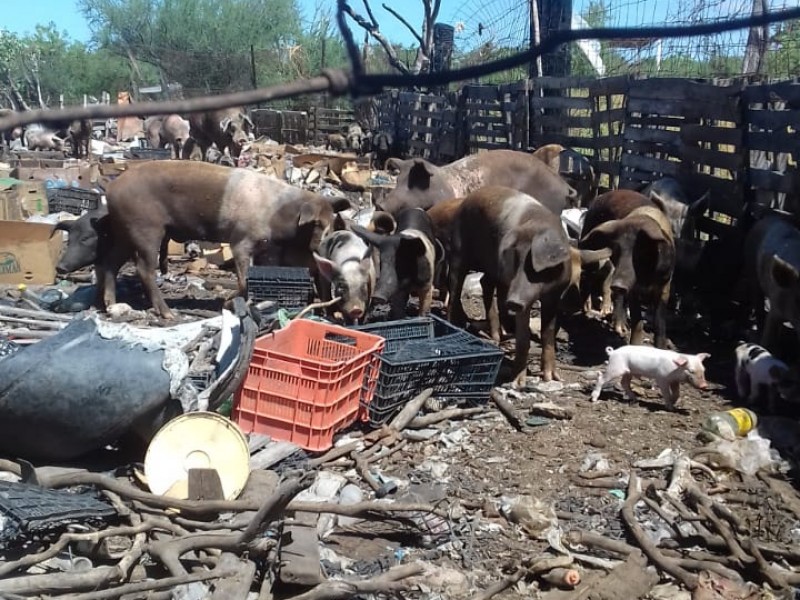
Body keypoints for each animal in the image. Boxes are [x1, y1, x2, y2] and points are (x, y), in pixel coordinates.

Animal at [96, 159, 350, 318]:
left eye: (332, 220)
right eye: (317, 224)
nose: (325, 244)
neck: (277, 215)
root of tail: (112, 187)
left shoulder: (268, 248)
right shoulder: (241, 240)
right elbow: (243, 278)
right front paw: (228, 302)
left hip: (125, 232)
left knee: (110, 262)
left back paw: (110, 305)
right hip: (146, 230)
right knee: (143, 269)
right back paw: (168, 314)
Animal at [446, 185, 608, 386]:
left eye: (580, 275)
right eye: (517, 261)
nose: (513, 302)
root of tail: (469, 198)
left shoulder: (552, 296)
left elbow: (548, 334)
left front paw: (551, 378)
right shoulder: (524, 296)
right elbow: (523, 338)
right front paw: (518, 383)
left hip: (494, 267)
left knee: (486, 283)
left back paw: (498, 336)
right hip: (459, 250)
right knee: (455, 285)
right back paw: (456, 326)